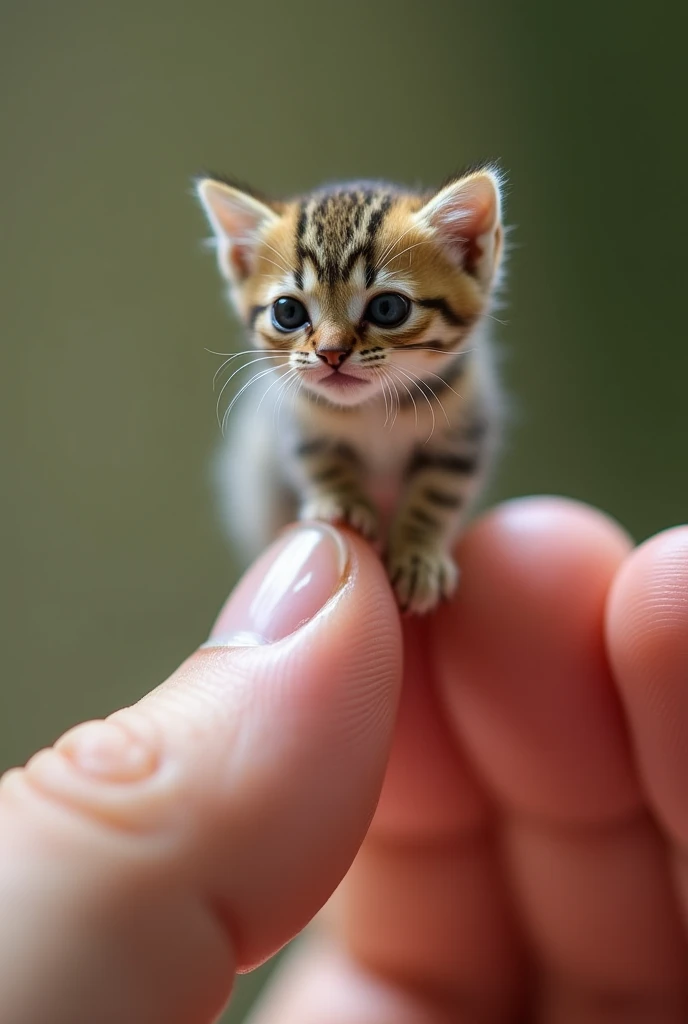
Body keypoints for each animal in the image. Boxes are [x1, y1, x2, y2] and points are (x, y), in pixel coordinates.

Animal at [196, 166, 507, 610]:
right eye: (287, 312)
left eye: (388, 308)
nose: (331, 352)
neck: (375, 408)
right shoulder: (293, 420)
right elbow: (318, 459)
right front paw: (342, 503)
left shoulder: (467, 428)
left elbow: (438, 492)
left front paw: (419, 557)